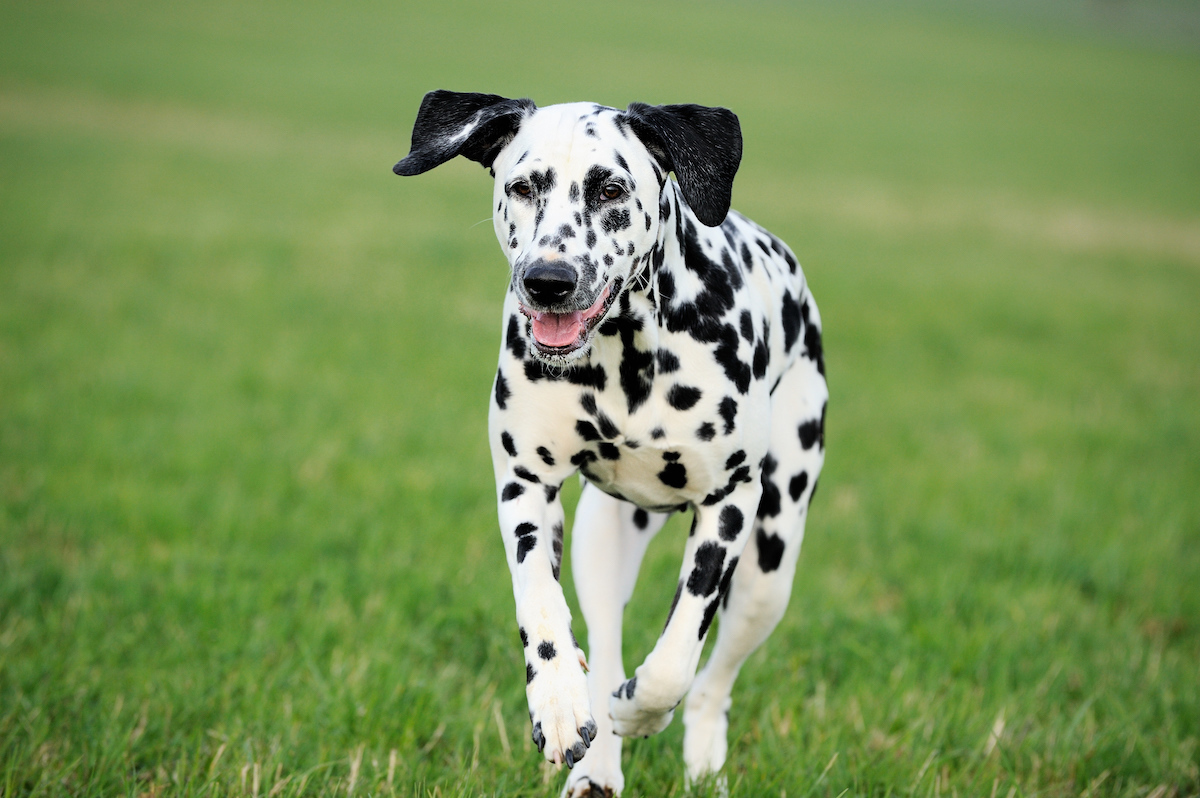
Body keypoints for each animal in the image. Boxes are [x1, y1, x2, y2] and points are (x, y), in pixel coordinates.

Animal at [393, 90, 825, 792]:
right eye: (522, 186)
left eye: (611, 188)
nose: (548, 279)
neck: (626, 355)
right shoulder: (526, 487)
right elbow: (541, 605)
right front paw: (558, 703)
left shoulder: (728, 503)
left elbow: (678, 653)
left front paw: (643, 710)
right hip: (604, 544)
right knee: (603, 637)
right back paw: (595, 760)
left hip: (770, 568)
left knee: (714, 678)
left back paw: (702, 756)